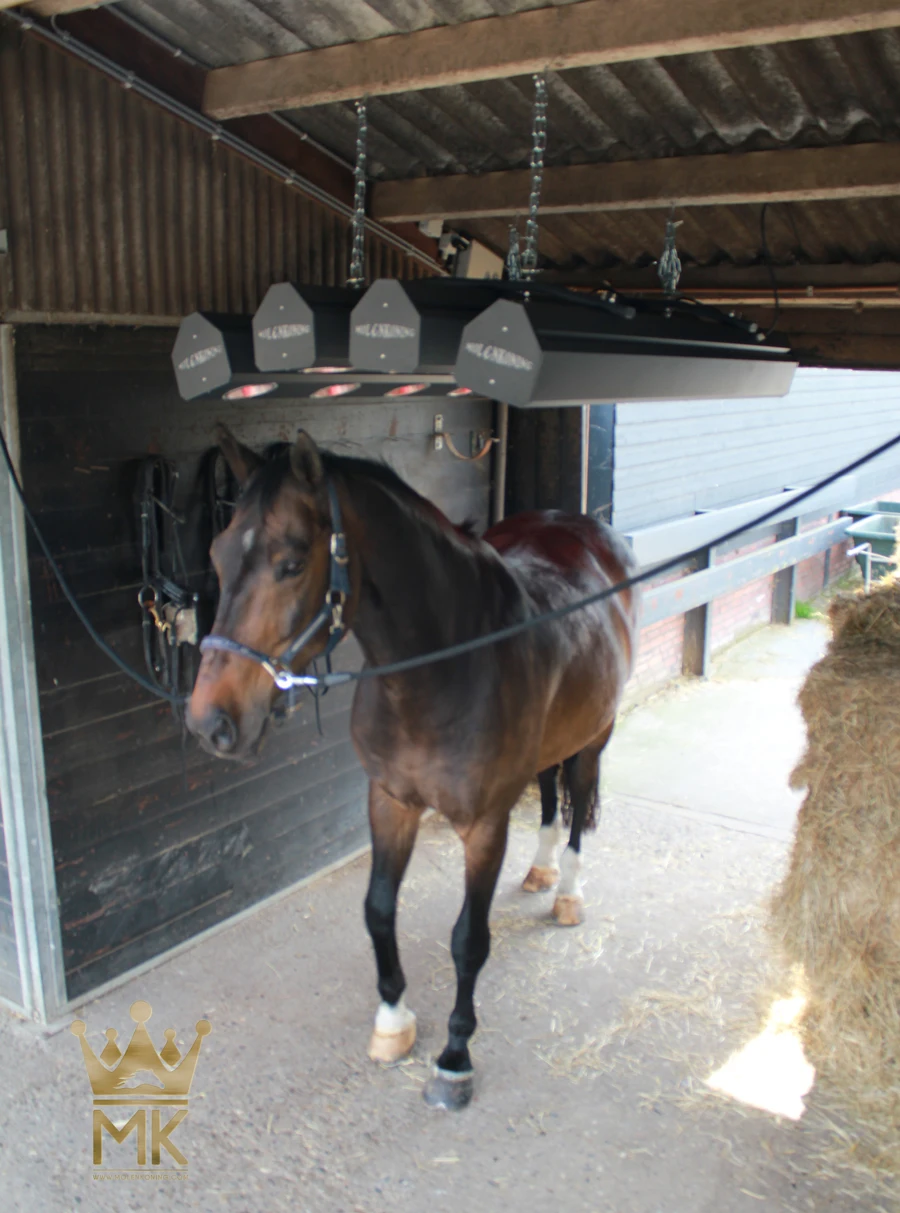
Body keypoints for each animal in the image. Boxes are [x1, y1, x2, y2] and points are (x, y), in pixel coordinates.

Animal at [186, 425, 639, 1110]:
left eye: (292, 562)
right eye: (215, 555)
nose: (209, 722)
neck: (441, 669)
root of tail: (591, 530)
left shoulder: (484, 826)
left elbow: (468, 940)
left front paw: (454, 1058)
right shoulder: (390, 801)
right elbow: (378, 910)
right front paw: (392, 1022)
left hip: (593, 736)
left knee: (580, 801)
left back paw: (567, 893)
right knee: (548, 792)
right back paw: (539, 870)